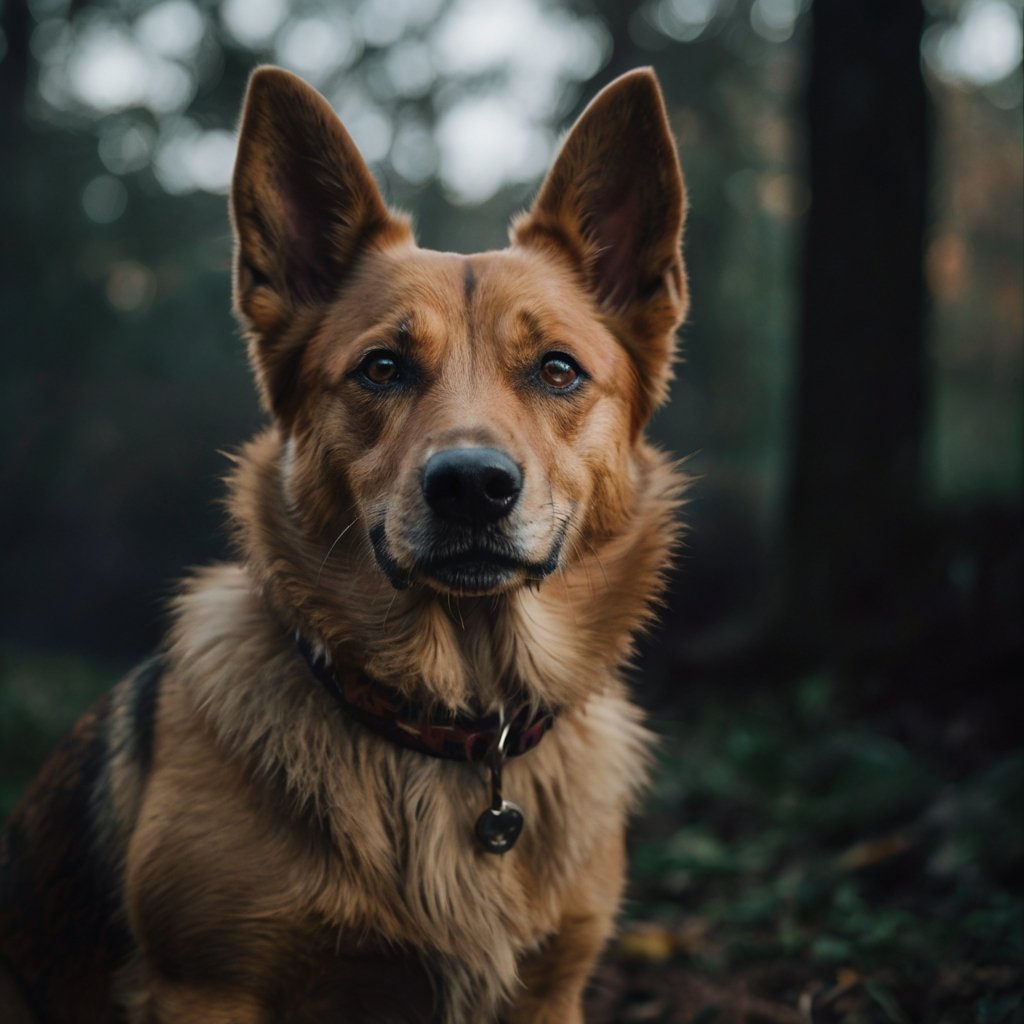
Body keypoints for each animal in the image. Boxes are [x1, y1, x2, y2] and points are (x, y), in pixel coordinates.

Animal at [2, 66, 688, 1024]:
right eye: (382, 368)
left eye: (558, 369)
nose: (472, 486)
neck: (452, 726)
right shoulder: (203, 989)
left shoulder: (551, 994)